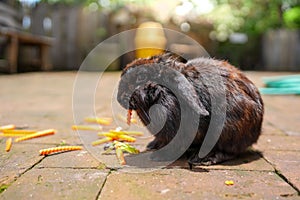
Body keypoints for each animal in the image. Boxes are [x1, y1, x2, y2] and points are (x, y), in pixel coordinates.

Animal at [117, 53, 262, 166]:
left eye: (141, 77)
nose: (119, 98)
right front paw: (153, 147)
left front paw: (157, 157)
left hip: (227, 130)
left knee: (229, 151)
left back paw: (204, 158)